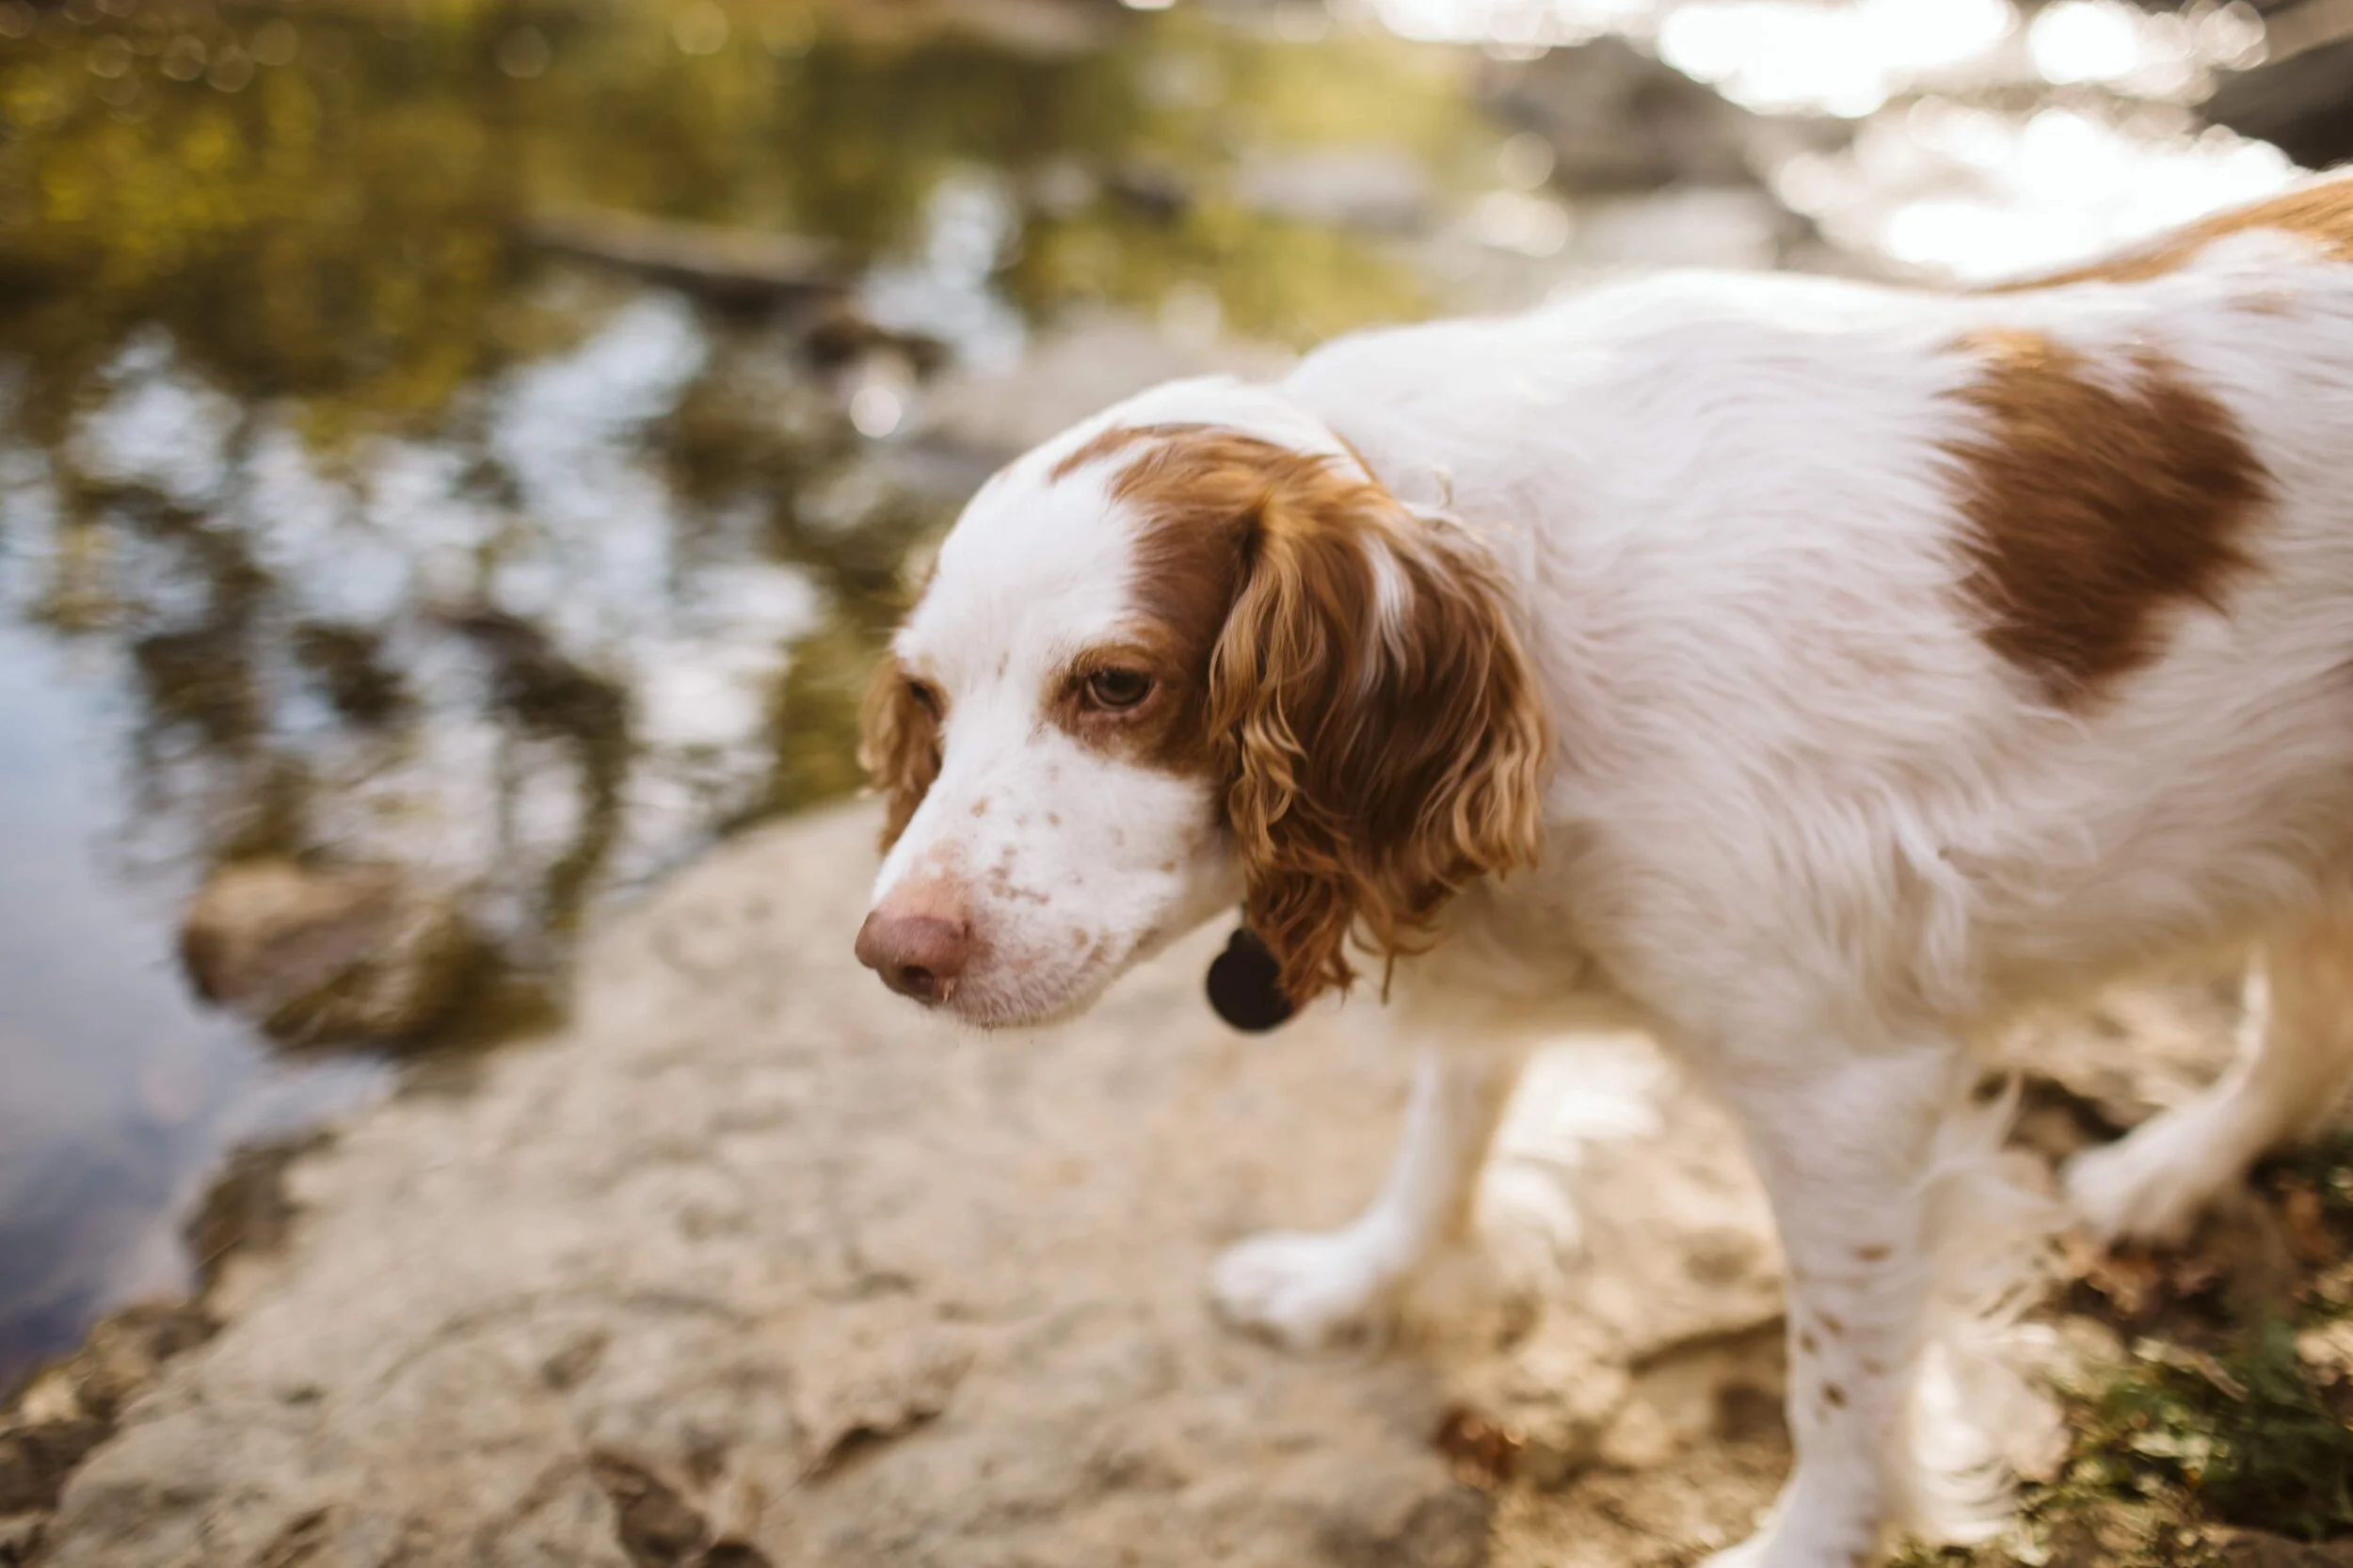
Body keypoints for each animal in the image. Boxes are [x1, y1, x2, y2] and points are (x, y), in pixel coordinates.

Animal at [856, 176, 2353, 1553]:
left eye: (1115, 684)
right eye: (929, 697)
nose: (891, 955)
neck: (1531, 615)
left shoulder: (1844, 1087)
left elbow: (1843, 1379)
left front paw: (1812, 1539)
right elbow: (1444, 1135)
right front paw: (1353, 1281)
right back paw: (2172, 1169)